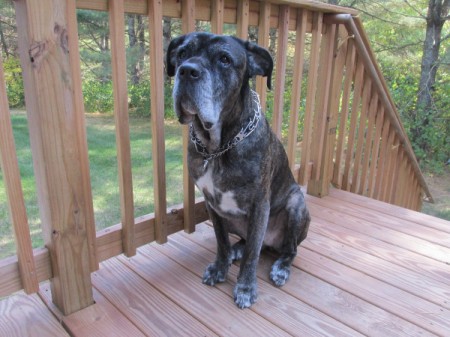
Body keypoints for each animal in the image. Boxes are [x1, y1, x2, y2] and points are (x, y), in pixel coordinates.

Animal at [167, 32, 312, 308]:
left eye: (224, 59)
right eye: (182, 53)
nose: (187, 71)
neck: (218, 146)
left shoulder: (259, 205)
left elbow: (252, 255)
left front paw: (245, 287)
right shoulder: (211, 204)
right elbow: (221, 241)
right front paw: (220, 268)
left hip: (296, 205)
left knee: (288, 249)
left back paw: (281, 267)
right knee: (247, 242)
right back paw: (237, 249)